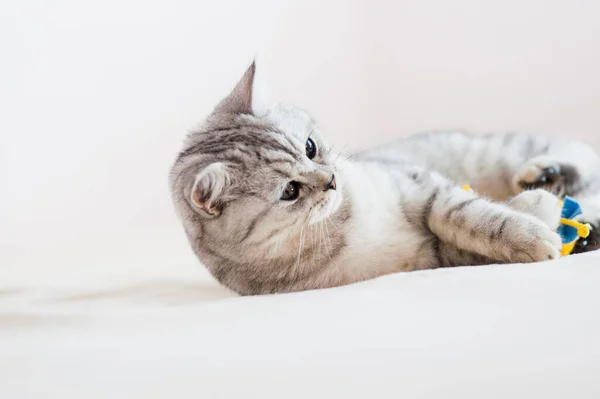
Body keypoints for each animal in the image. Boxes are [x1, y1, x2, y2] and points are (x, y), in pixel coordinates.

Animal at [169, 63, 600, 296]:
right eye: (290, 191)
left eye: (310, 147)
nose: (331, 181)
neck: (347, 220)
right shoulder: (436, 257)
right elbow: (476, 236)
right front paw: (539, 225)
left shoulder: (421, 186)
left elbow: (468, 214)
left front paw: (530, 222)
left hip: (506, 151)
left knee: (581, 160)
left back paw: (546, 176)